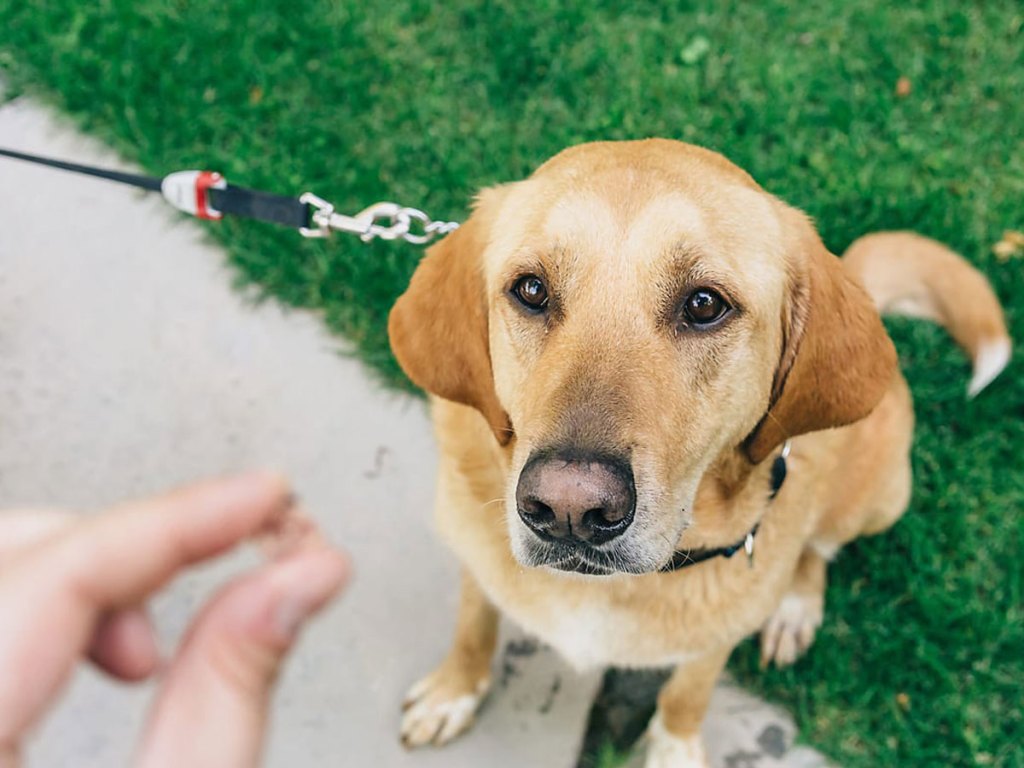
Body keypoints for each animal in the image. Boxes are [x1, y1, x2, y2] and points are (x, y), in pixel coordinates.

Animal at [385, 141, 1007, 765]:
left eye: (705, 304)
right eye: (531, 290)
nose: (569, 510)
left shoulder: (715, 639)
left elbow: (687, 695)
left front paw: (676, 747)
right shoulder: (476, 560)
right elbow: (473, 628)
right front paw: (454, 691)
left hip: (880, 498)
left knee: (817, 551)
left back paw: (795, 608)